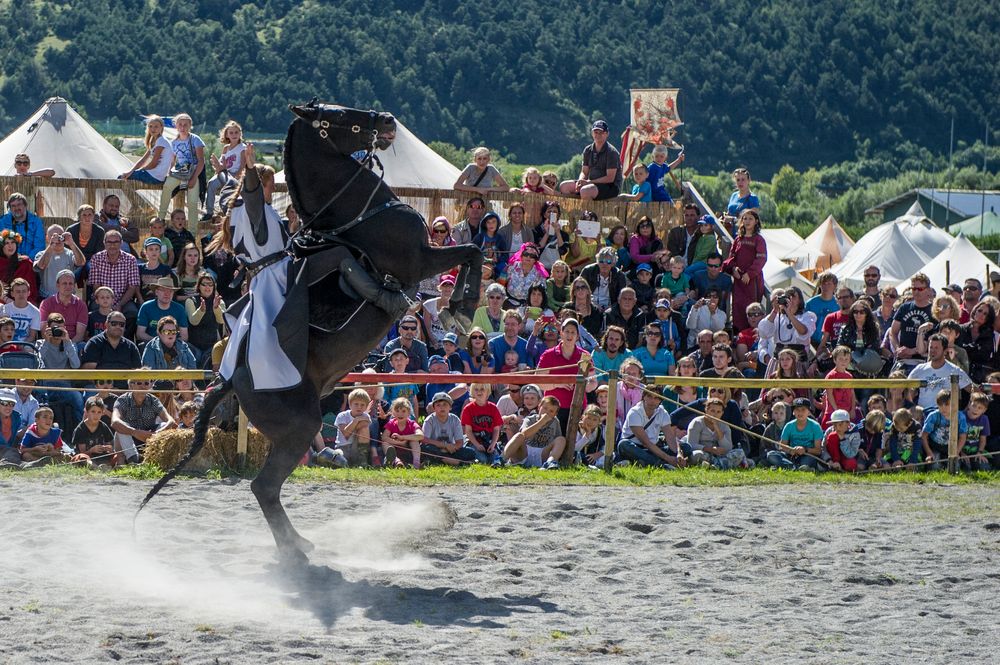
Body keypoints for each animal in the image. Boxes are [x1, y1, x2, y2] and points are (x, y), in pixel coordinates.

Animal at [139, 102, 482, 560]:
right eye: (338, 117)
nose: (387, 121)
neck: (358, 216)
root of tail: (231, 380)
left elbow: (473, 252)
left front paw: (459, 307)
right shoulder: (419, 260)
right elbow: (473, 250)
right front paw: (462, 307)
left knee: (265, 489)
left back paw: (299, 542)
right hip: (300, 430)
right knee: (263, 487)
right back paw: (295, 550)